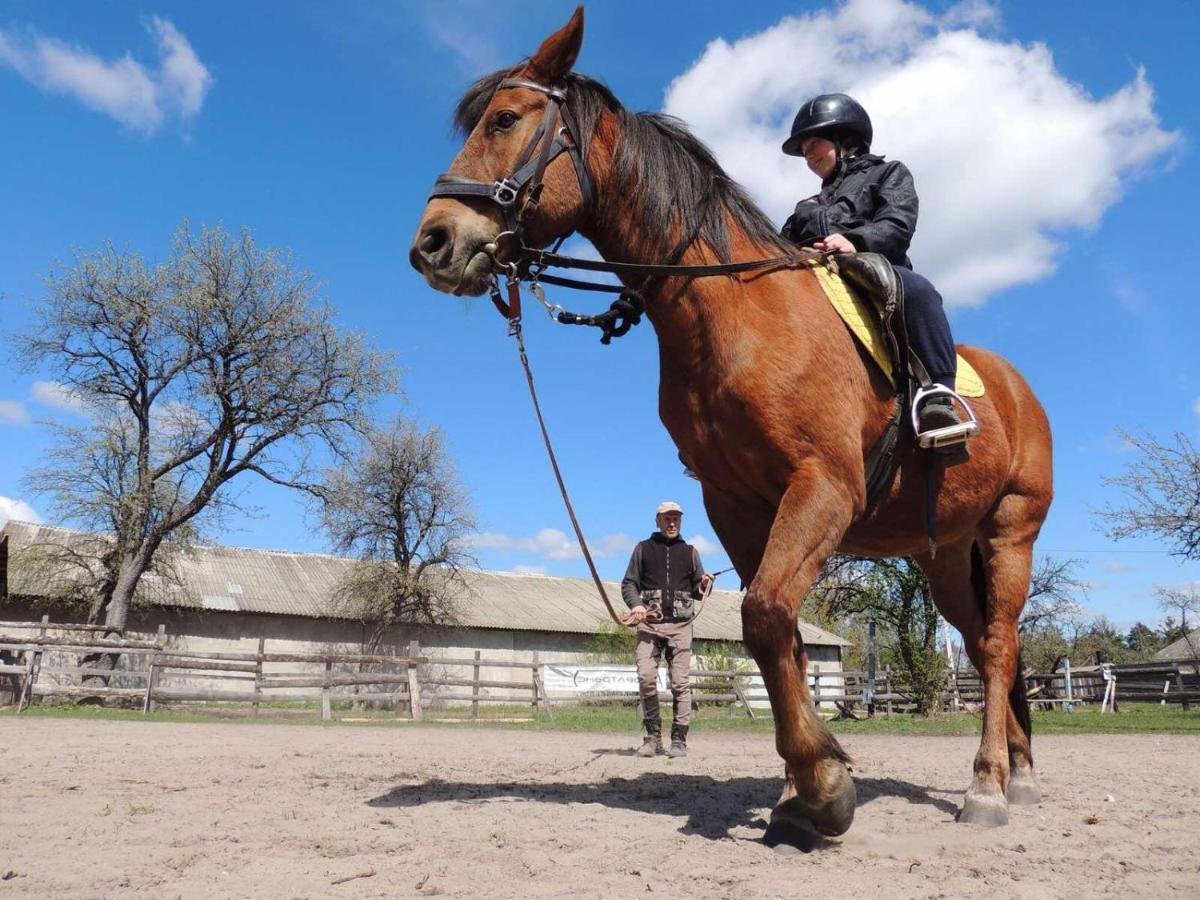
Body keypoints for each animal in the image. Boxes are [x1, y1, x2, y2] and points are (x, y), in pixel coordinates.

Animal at [410, 8, 1051, 840]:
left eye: (506, 119)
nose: (432, 243)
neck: (738, 312)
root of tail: (1017, 390)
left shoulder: (823, 487)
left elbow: (770, 616)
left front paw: (823, 784)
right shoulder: (737, 507)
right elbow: (771, 634)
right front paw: (799, 788)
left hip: (1009, 534)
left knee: (999, 647)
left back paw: (987, 786)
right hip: (942, 554)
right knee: (979, 646)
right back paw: (1017, 773)